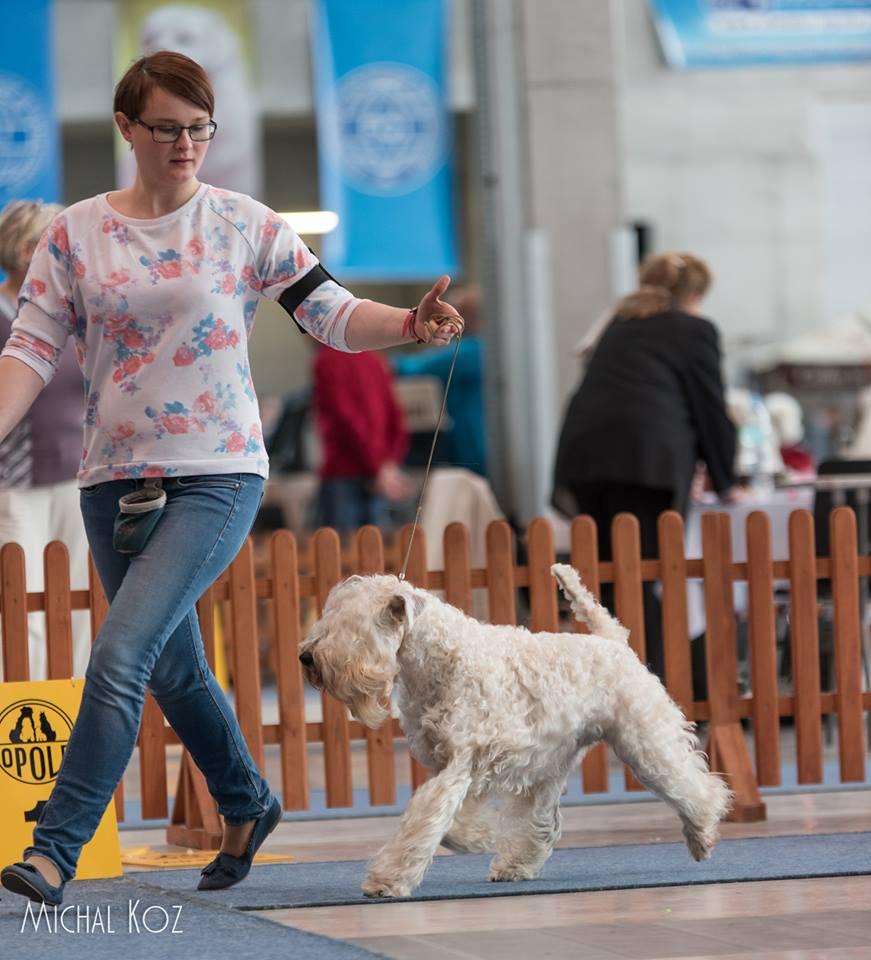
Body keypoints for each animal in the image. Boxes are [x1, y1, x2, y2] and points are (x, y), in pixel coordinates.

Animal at [298, 564, 728, 900]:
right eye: (329, 616)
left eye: (354, 626)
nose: (306, 656)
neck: (440, 660)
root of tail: (614, 641)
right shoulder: (449, 764)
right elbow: (442, 816)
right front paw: (474, 837)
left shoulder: (460, 761)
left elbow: (422, 819)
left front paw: (386, 880)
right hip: (551, 764)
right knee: (543, 820)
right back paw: (515, 865)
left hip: (643, 742)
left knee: (694, 785)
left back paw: (703, 835)